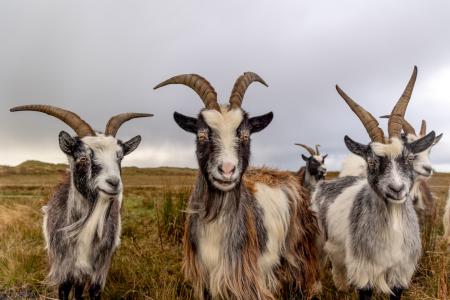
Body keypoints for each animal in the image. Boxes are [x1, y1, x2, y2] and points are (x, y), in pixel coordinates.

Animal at [10, 104, 151, 298]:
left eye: (120, 157)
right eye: (83, 158)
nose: (114, 183)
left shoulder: (99, 271)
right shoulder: (64, 269)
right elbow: (65, 290)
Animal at [155, 73, 320, 300]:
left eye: (245, 135)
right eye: (202, 134)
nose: (227, 170)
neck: (215, 219)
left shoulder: (244, 279)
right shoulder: (204, 277)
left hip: (299, 245)